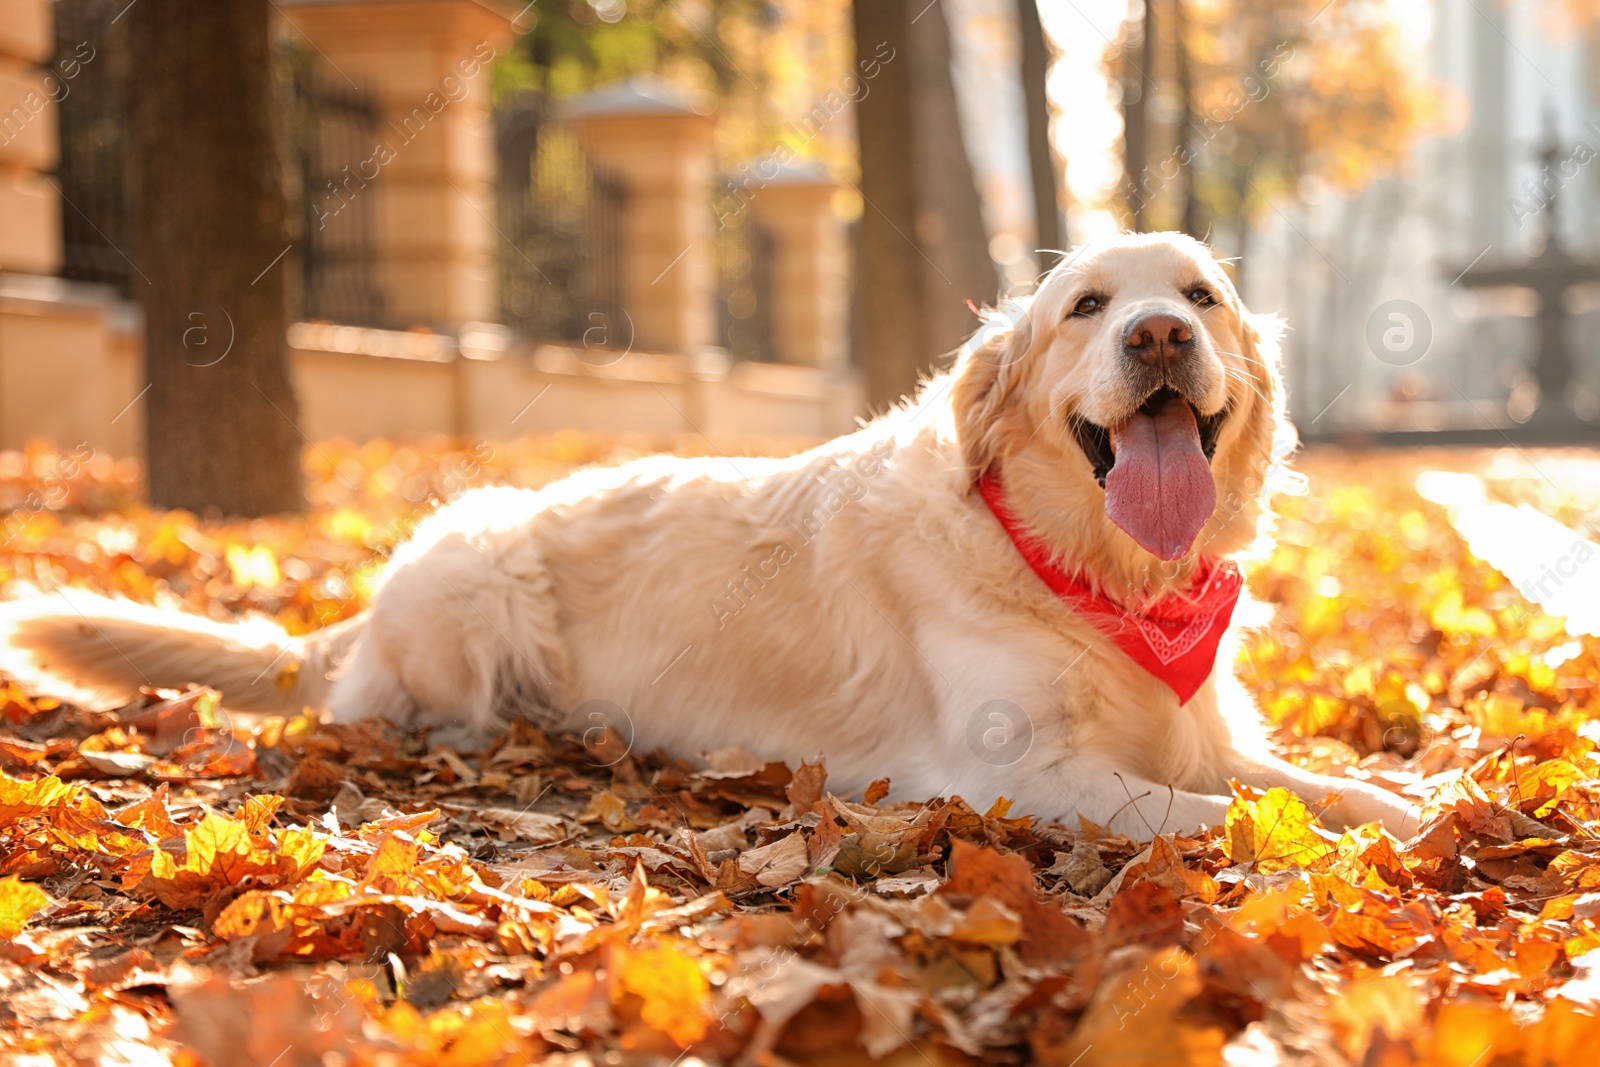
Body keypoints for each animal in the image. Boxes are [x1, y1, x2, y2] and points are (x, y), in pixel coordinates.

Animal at [0, 233, 1420, 844]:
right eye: (1083, 307)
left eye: (1200, 296)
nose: (1157, 336)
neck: (1097, 572)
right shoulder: (1010, 769)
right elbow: (1200, 814)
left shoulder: (1200, 725)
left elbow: (1312, 786)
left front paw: (1411, 806)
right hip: (475, 576)